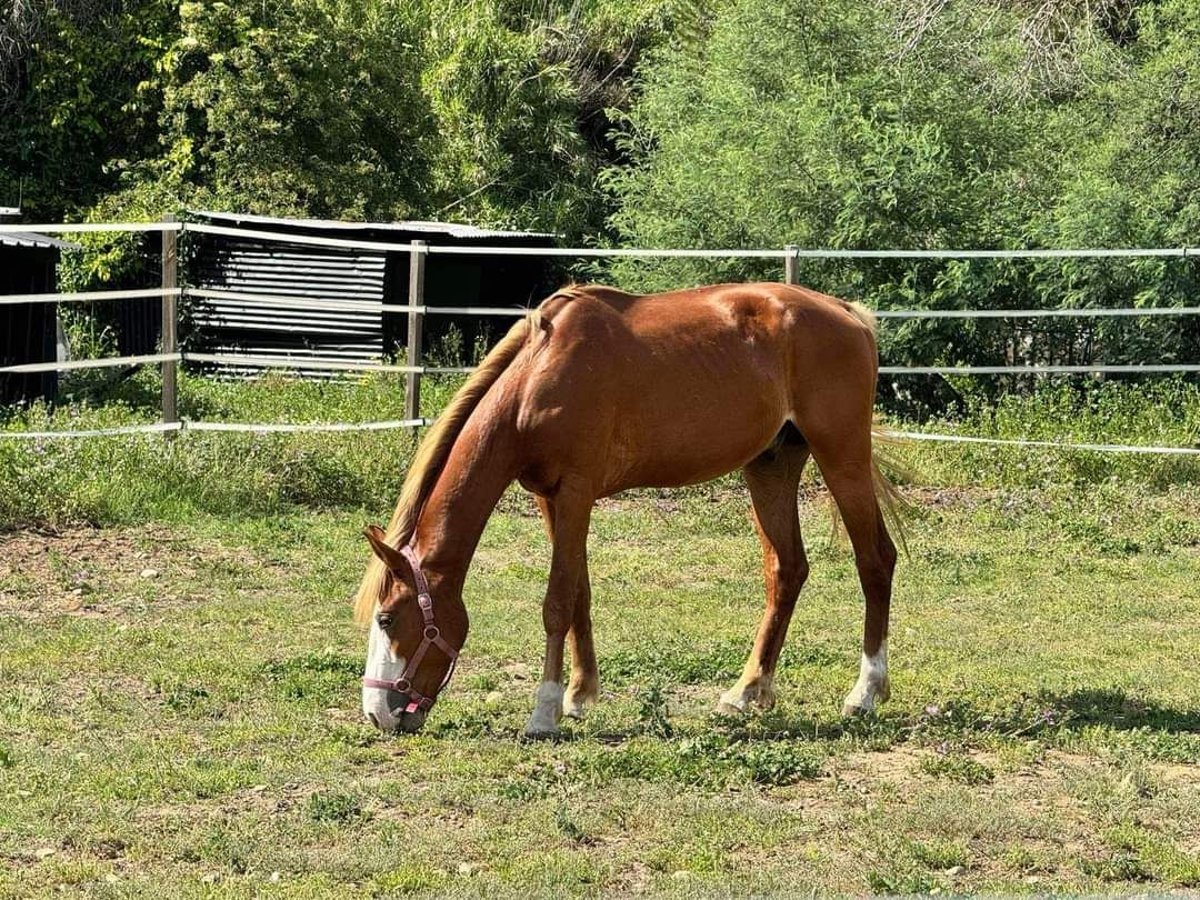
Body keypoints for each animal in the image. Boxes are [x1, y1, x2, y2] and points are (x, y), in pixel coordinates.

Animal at [355, 283, 902, 739]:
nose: (376, 713)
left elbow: (556, 602)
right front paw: (579, 695)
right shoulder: (549, 497)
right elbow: (580, 594)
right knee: (787, 570)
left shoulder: (576, 492)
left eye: (387, 618)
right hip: (771, 466)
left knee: (876, 560)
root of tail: (847, 313)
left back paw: (865, 692)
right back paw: (748, 691)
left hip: (842, 457)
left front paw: (544, 711)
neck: (540, 375)